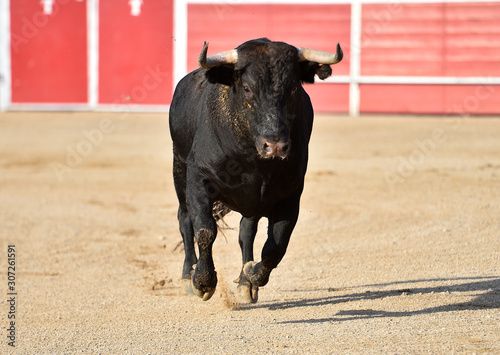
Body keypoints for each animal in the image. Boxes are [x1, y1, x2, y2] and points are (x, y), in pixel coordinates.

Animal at [170, 39, 342, 306]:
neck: (253, 159)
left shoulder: (290, 195)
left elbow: (276, 245)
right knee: (185, 219)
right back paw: (188, 275)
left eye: (293, 88)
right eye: (247, 88)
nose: (275, 146)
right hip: (179, 170)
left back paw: (245, 282)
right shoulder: (199, 178)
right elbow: (205, 229)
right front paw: (203, 282)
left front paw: (251, 273)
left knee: (246, 231)